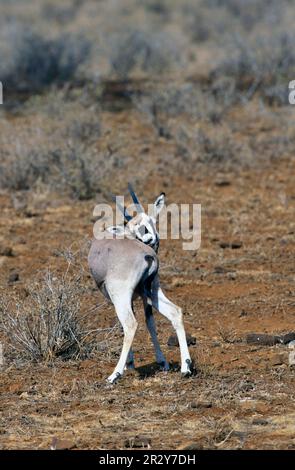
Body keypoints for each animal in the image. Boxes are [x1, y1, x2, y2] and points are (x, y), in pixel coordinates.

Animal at [88, 184, 193, 382]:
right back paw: (186, 367)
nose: (148, 238)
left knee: (130, 324)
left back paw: (114, 375)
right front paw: (161, 362)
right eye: (133, 228)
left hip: (121, 296)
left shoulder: (120, 298)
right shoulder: (144, 296)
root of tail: (146, 255)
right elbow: (150, 321)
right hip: (153, 291)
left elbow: (127, 324)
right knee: (175, 311)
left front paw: (129, 364)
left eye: (149, 220)